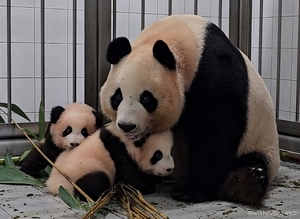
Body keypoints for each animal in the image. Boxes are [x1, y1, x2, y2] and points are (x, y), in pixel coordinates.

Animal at [45, 122, 175, 201]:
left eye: (171, 151)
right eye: (158, 155)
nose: (170, 168)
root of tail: (53, 184)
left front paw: (155, 179)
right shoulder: (117, 148)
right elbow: (128, 173)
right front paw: (149, 187)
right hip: (85, 170)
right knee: (95, 182)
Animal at [99, 14, 280, 206]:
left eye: (146, 98)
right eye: (117, 97)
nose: (127, 126)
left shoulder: (215, 73)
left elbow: (214, 132)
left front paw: (192, 192)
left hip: (259, 142)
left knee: (254, 162)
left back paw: (243, 184)